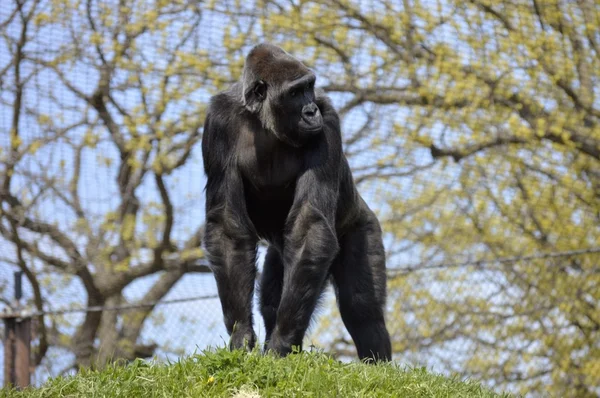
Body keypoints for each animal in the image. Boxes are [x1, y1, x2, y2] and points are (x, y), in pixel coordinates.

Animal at [199, 42, 392, 360]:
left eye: (309, 87)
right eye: (294, 92)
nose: (311, 110)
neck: (262, 119)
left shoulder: (328, 120)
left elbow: (309, 225)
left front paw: (281, 342)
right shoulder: (217, 123)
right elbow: (227, 228)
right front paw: (241, 334)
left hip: (363, 224)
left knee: (362, 309)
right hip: (279, 255)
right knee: (272, 298)